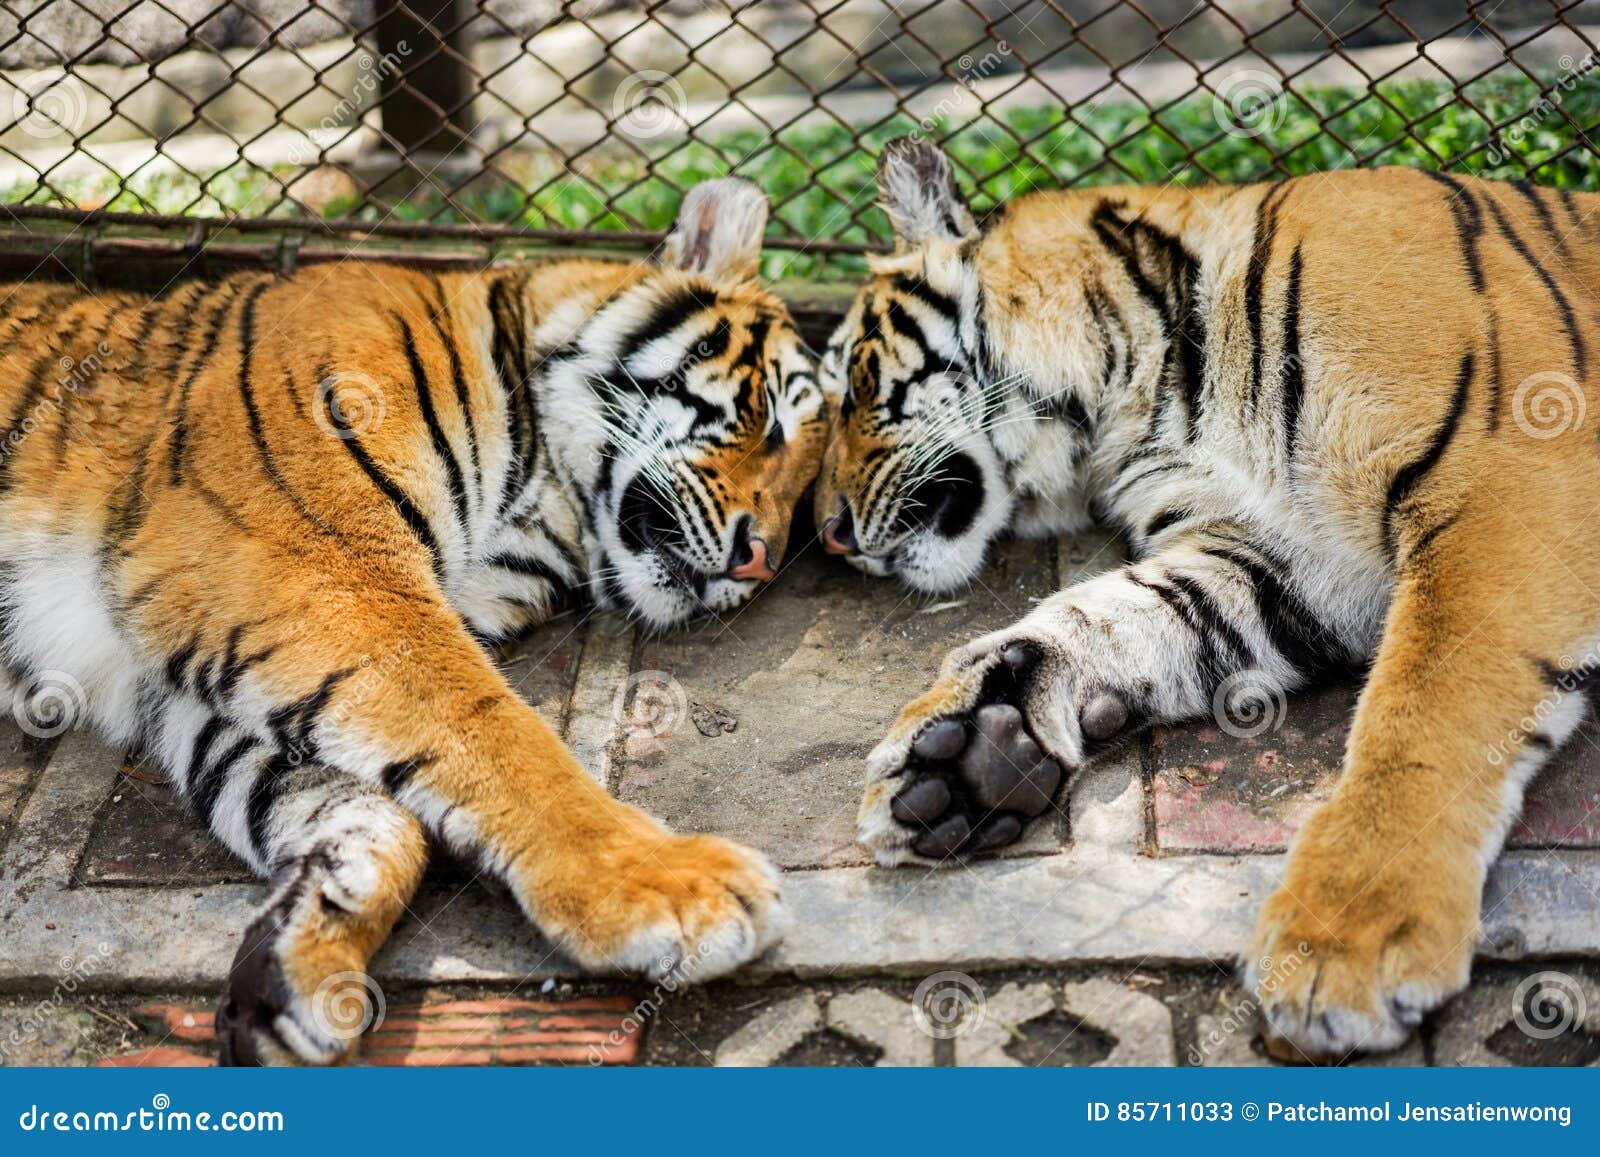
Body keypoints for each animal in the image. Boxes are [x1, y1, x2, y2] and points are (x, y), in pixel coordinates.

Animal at [0, 178, 824, 1065]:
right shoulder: (307, 555)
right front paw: (667, 883)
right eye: (770, 417)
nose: (760, 561)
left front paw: (301, 970)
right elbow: (494, 730)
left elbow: (371, 810)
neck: (549, 508)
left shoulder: (184, 680)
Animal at [816, 137, 1600, 1062]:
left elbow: (1426, 711)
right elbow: (1110, 612)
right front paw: (970, 748)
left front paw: (1342, 940)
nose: (828, 532)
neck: (1134, 395)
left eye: (850, 388)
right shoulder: (1279, 565)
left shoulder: (1508, 479)